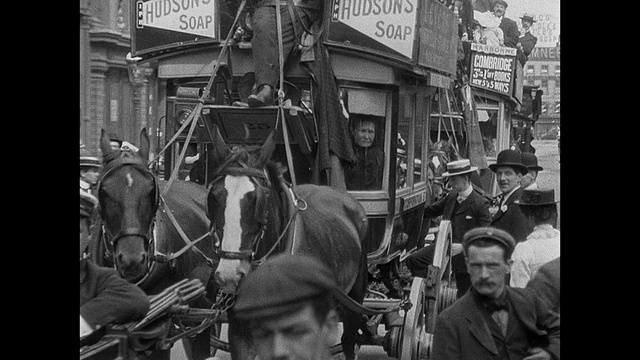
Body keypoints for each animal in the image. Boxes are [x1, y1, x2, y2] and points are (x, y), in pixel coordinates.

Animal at [205, 124, 370, 360]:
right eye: (213, 197)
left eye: (258, 200)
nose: (229, 274)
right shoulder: (240, 332)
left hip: (354, 298)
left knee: (348, 340)